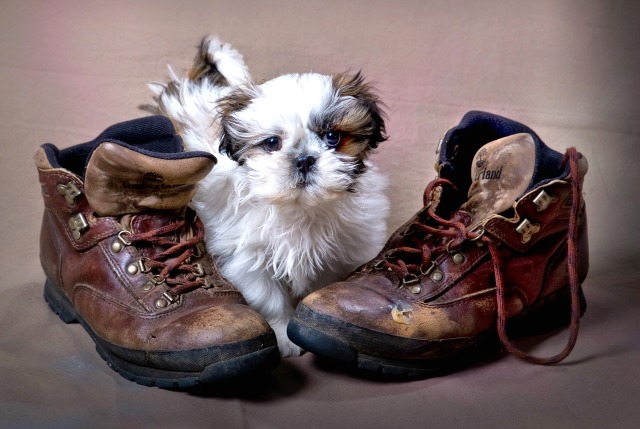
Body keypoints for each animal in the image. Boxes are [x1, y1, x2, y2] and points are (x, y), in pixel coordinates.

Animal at [148, 36, 390, 354]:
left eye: (332, 137)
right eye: (272, 142)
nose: (304, 159)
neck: (299, 208)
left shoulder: (341, 253)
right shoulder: (247, 258)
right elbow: (269, 299)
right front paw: (283, 335)